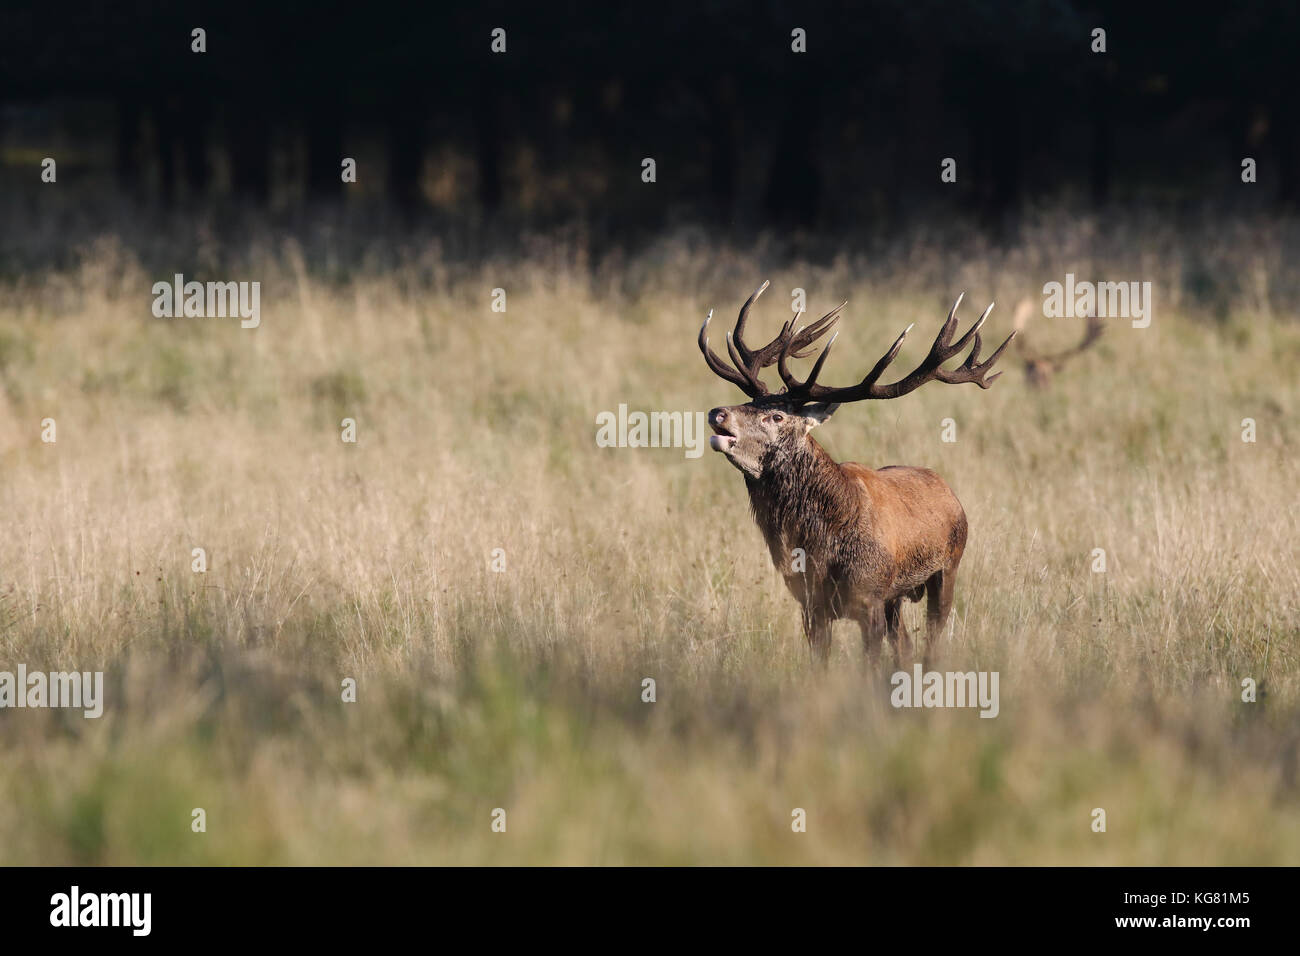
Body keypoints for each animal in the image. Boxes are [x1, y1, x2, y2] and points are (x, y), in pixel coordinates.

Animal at [700, 281, 1015, 667]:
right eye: (749, 403)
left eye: (776, 416)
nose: (718, 413)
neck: (818, 546)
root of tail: (948, 491)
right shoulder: (810, 605)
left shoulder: (869, 597)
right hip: (896, 597)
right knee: (906, 646)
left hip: (948, 567)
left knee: (931, 642)